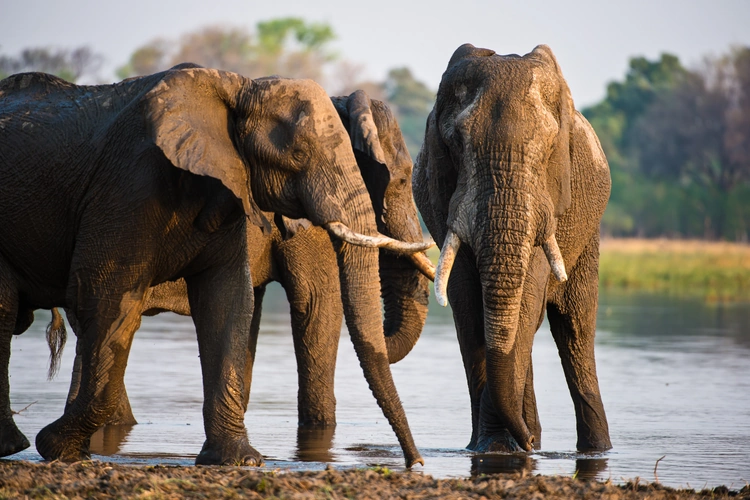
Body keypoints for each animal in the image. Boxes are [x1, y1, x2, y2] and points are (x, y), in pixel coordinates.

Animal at [0, 64, 432, 466]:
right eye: (402, 180)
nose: (417, 462)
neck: (241, 90)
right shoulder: (128, 188)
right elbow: (316, 306)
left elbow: (231, 303)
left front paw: (237, 459)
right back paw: (25, 445)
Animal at [414, 45, 612, 456]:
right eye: (457, 143)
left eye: (550, 146)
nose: (530, 443)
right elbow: (469, 307)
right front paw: (493, 449)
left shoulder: (549, 200)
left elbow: (524, 308)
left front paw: (503, 448)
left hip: (588, 234)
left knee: (575, 329)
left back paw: (594, 449)